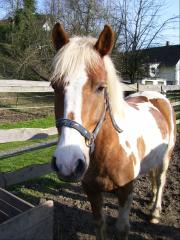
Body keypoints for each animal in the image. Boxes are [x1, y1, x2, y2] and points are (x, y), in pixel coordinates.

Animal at [50, 23, 176, 240]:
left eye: (101, 87)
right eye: (54, 85)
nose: (68, 163)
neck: (110, 148)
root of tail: (157, 96)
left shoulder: (126, 190)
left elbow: (122, 228)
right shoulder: (91, 190)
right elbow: (99, 224)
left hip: (166, 157)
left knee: (160, 180)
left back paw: (155, 212)